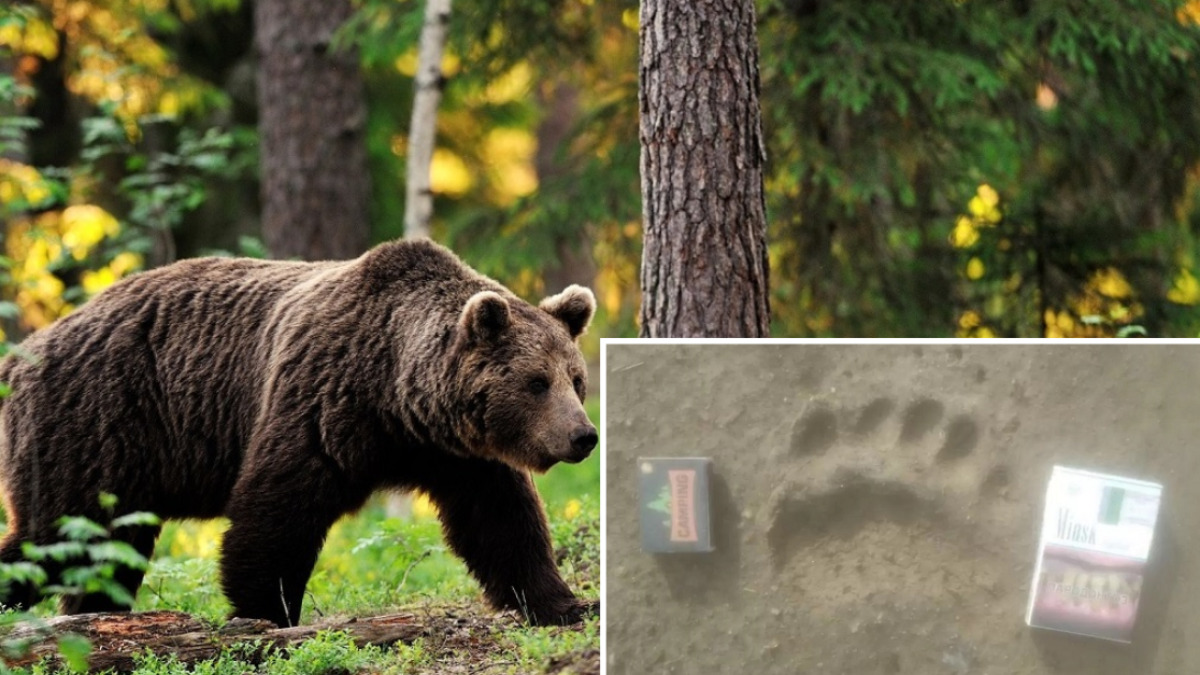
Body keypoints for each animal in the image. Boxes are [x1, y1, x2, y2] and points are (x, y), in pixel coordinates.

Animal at [0, 237, 600, 624]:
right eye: (536, 382)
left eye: (576, 379)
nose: (583, 436)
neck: (398, 396)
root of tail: (25, 350)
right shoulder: (322, 401)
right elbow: (277, 510)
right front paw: (265, 612)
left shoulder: (457, 454)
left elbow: (501, 523)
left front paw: (563, 604)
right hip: (99, 424)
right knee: (61, 534)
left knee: (102, 552)